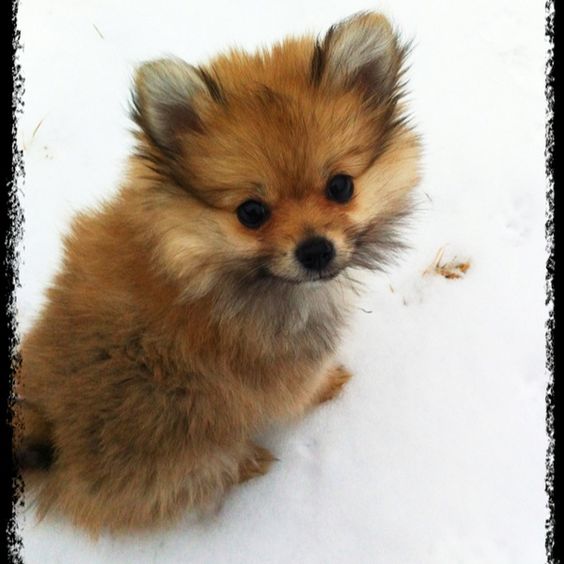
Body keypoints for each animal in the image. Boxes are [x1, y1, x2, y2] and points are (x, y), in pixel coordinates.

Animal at [14, 11, 418, 536]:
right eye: (252, 212)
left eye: (340, 187)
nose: (315, 250)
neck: (199, 261)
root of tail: (50, 441)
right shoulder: (284, 366)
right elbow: (303, 390)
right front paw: (329, 385)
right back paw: (248, 462)